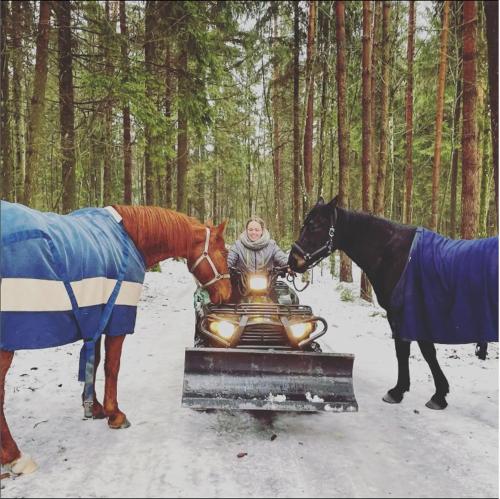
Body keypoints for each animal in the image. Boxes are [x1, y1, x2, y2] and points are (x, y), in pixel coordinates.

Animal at [0, 204, 230, 476]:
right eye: (224, 251)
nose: (228, 294)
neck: (131, 236)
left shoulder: (98, 316)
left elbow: (95, 361)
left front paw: (95, 407)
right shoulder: (118, 316)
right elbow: (112, 366)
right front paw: (115, 414)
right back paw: (15, 456)